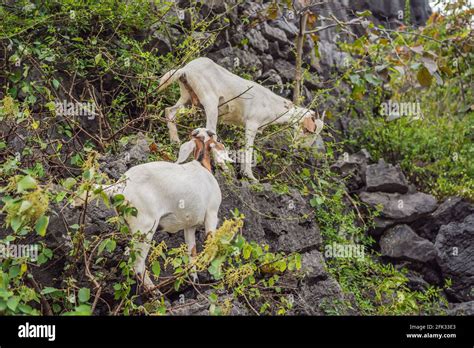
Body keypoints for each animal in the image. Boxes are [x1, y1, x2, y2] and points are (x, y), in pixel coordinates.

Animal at [75, 128, 230, 290]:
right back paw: (154, 291)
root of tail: (119, 186)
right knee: (137, 264)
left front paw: (194, 280)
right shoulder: (212, 213)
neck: (201, 165)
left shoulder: (189, 226)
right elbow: (211, 245)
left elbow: (191, 253)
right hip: (145, 227)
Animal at [157, 56, 324, 179]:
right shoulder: (252, 124)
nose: (302, 148)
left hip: (187, 97)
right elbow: (248, 148)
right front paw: (249, 176)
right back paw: (224, 167)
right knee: (210, 134)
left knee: (170, 111)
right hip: (210, 103)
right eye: (309, 130)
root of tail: (185, 69)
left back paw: (175, 140)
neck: (272, 105)